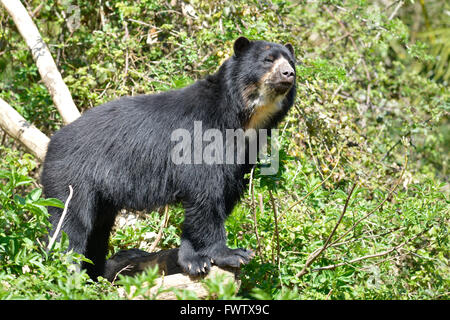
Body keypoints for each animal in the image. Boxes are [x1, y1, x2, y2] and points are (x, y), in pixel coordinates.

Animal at [41, 36, 296, 278]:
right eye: (268, 60)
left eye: (291, 62)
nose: (289, 73)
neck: (243, 117)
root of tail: (52, 144)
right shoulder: (201, 140)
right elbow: (207, 195)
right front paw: (231, 254)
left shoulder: (243, 154)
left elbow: (223, 194)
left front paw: (193, 259)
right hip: (73, 178)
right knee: (71, 224)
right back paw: (67, 271)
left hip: (101, 196)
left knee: (97, 231)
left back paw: (94, 274)